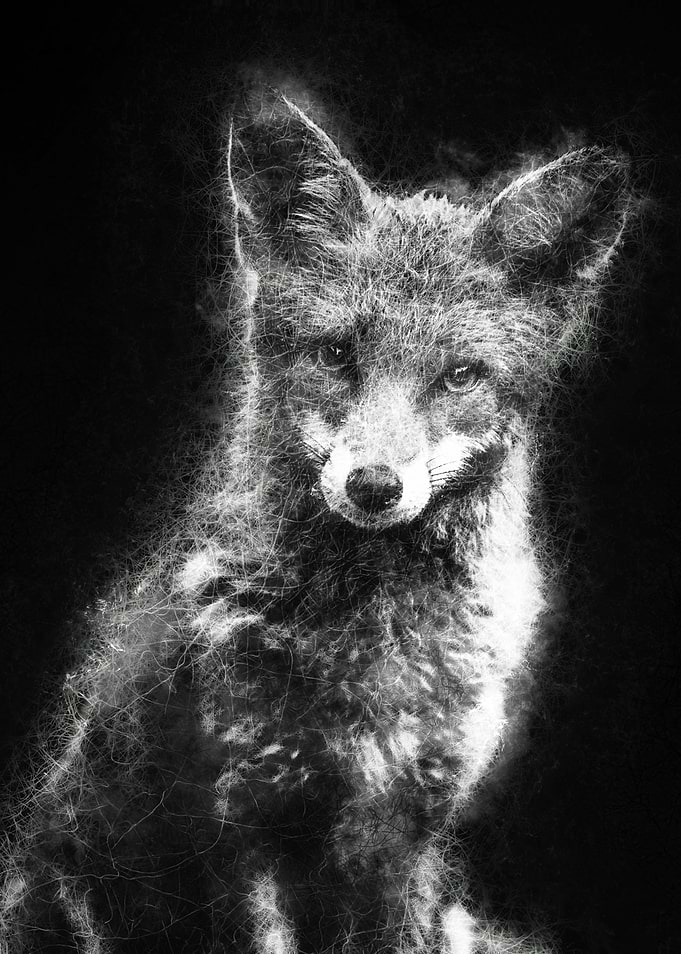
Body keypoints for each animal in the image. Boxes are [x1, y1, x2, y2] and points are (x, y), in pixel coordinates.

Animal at [0, 85, 638, 954]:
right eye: (336, 355)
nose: (373, 485)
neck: (370, 654)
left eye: (459, 376)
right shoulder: (238, 823)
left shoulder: (404, 832)